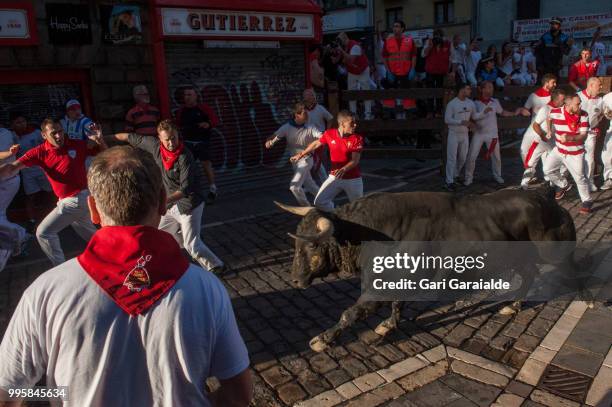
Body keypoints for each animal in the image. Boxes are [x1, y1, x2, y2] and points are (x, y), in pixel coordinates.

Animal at [278, 190, 584, 352]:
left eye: (313, 246)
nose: (295, 280)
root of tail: (545, 197)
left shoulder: (380, 287)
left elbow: (351, 312)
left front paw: (322, 339)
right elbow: (396, 305)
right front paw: (388, 325)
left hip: (554, 250)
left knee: (570, 268)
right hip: (516, 258)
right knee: (529, 273)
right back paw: (513, 305)